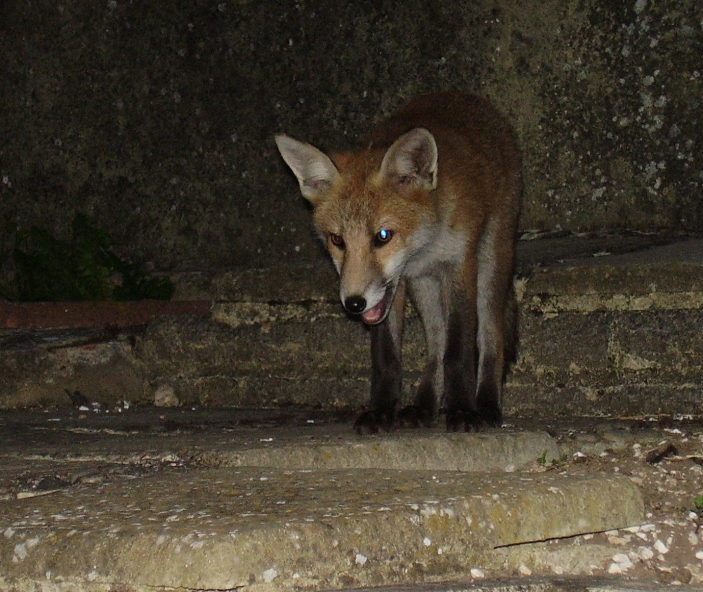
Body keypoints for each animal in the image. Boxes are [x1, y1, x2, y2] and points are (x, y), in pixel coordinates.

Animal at [275, 92, 521, 434]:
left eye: (383, 235)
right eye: (337, 240)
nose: (353, 304)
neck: (426, 245)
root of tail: (464, 97)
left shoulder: (460, 265)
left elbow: (458, 351)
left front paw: (462, 411)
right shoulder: (401, 285)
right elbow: (388, 357)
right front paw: (381, 412)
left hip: (491, 261)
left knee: (490, 336)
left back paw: (486, 406)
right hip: (425, 289)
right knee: (435, 346)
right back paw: (424, 407)